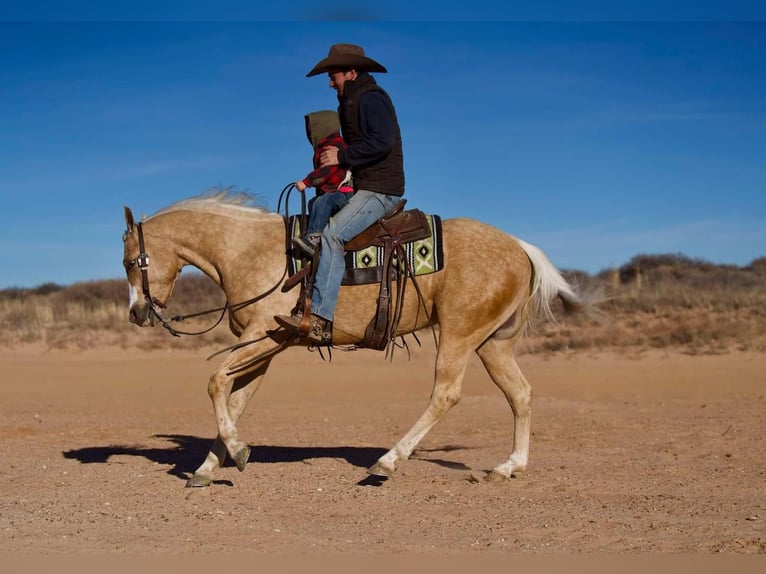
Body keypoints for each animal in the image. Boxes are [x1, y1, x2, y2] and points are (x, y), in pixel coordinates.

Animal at [121, 191, 600, 488]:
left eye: (130, 261)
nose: (137, 313)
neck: (249, 250)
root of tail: (521, 248)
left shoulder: (263, 335)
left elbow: (216, 382)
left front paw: (236, 452)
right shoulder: (265, 346)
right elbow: (236, 398)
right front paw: (208, 467)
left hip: (459, 335)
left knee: (446, 394)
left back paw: (388, 461)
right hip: (493, 343)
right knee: (521, 394)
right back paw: (508, 467)